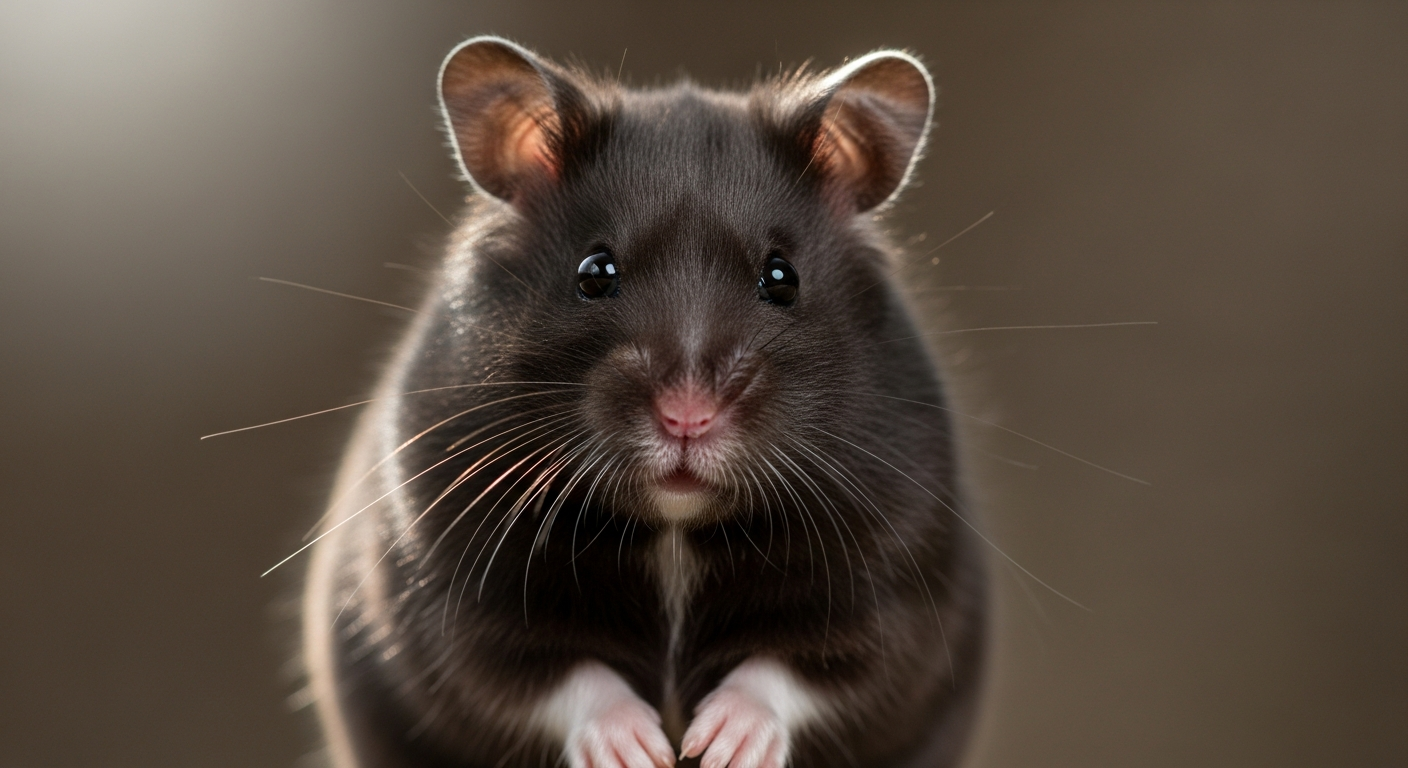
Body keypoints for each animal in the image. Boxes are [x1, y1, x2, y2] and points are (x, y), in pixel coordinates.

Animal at [302, 36, 986, 768]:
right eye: (594, 273)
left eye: (782, 278)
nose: (687, 416)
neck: (674, 528)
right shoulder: (449, 592)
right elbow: (551, 675)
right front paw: (642, 749)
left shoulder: (894, 594)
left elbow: (801, 670)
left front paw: (718, 744)